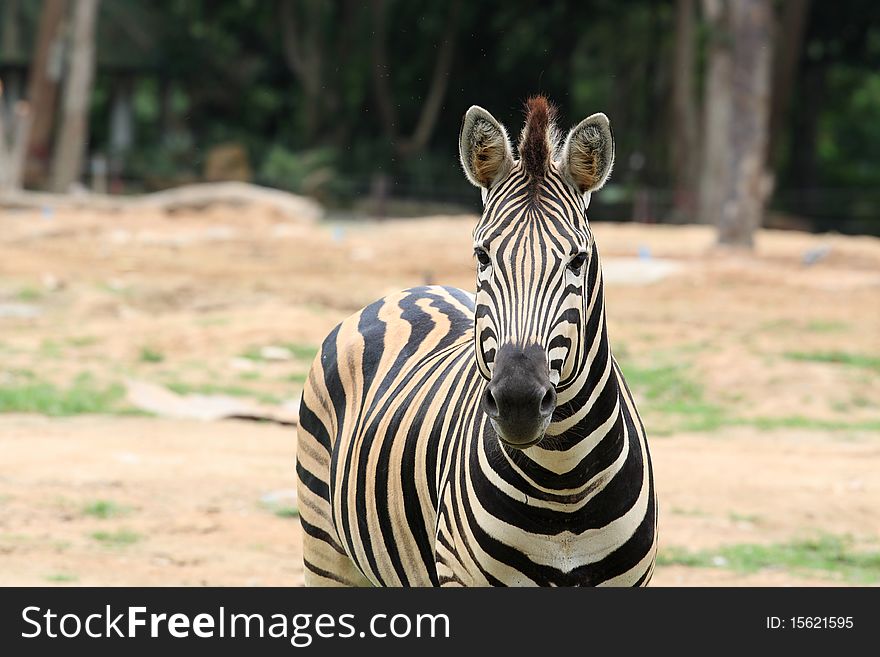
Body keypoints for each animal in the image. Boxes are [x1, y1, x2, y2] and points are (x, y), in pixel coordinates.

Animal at [300, 96, 656, 584]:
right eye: (482, 255)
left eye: (577, 260)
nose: (519, 402)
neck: (564, 483)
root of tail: (414, 290)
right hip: (324, 549)